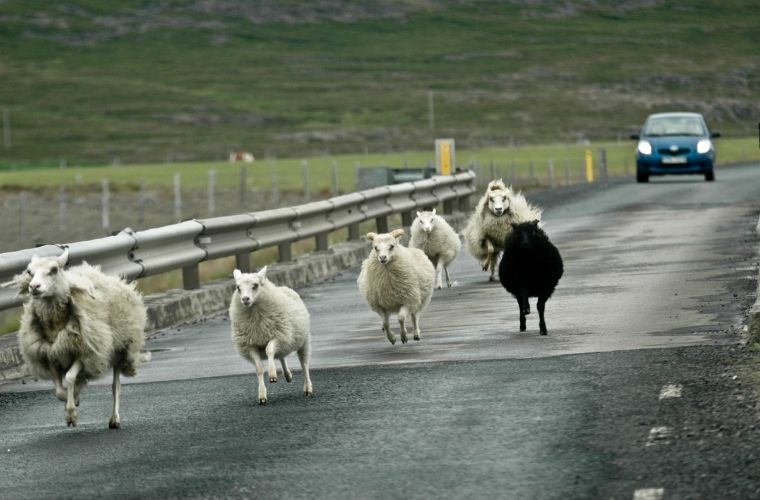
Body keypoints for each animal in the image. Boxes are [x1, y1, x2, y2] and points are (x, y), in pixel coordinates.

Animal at [10, 250, 149, 430]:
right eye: (29, 272)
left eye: (54, 270)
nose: (34, 287)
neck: (55, 324)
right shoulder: (51, 353)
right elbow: (59, 390)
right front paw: (73, 398)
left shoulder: (83, 351)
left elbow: (69, 377)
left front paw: (71, 413)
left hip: (120, 350)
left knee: (115, 387)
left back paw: (115, 419)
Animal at [229, 268, 312, 404]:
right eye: (238, 288)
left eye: (255, 285)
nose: (245, 299)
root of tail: (284, 287)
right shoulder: (250, 345)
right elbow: (259, 369)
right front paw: (262, 395)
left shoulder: (278, 335)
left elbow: (269, 350)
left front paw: (272, 375)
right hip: (286, 341)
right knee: (282, 356)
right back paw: (288, 375)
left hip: (302, 340)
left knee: (304, 364)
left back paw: (308, 388)